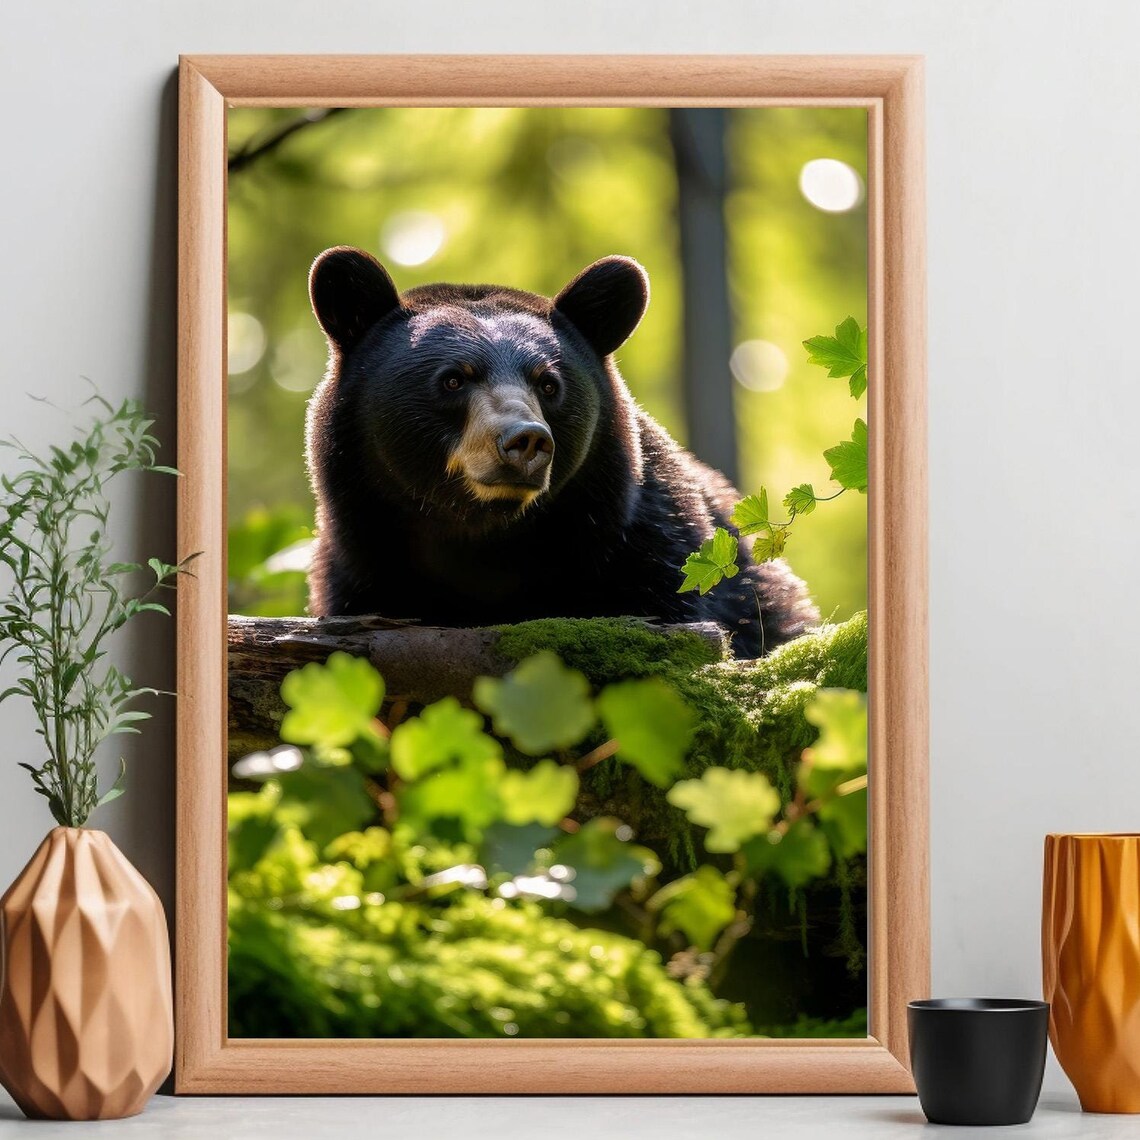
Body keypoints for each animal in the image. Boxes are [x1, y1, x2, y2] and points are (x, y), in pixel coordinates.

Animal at [304, 247, 818, 658]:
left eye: (548, 384)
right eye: (453, 379)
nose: (525, 440)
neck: (485, 541)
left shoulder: (660, 553)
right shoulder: (361, 570)